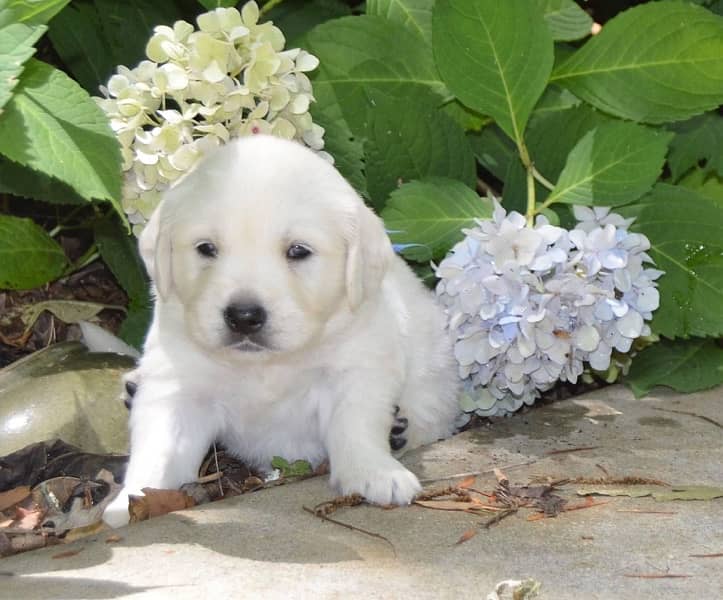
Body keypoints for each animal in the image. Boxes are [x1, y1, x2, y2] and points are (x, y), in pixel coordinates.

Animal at [103, 135, 458, 524]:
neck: (266, 364)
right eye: (206, 248)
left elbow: (356, 424)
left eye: (298, 251)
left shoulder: (358, 368)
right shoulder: (179, 385)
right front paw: (129, 502)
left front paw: (375, 473)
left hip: (436, 376)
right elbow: (159, 447)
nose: (243, 316)